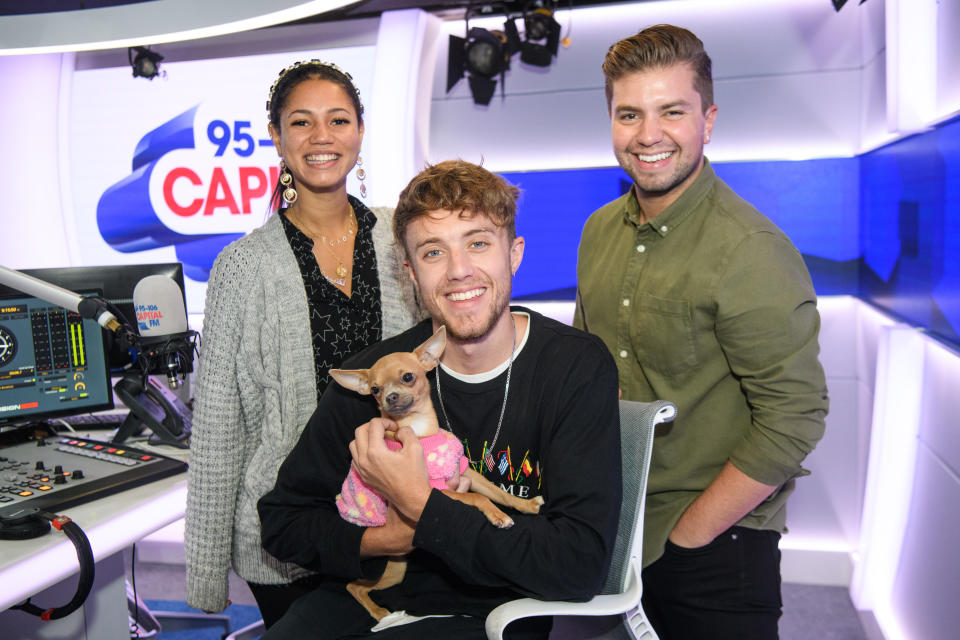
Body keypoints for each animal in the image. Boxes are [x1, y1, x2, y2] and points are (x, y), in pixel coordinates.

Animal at [328, 324, 540, 620]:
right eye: (375, 389)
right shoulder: (434, 491)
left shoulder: (465, 473)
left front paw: (525, 505)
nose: (390, 397)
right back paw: (381, 614)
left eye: (408, 377)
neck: (417, 430)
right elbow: (476, 498)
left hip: (396, 568)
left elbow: (497, 493)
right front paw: (498, 517)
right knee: (353, 586)